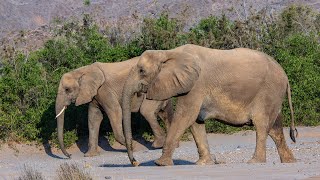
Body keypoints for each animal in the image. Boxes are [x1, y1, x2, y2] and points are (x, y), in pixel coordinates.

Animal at [122, 44, 298, 167]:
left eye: (141, 70)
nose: (135, 162)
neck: (170, 52)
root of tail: (285, 75)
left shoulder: (197, 85)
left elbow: (185, 116)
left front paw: (160, 163)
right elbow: (195, 121)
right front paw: (203, 164)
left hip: (268, 92)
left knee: (261, 125)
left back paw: (255, 162)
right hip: (273, 96)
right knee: (275, 128)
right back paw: (290, 162)